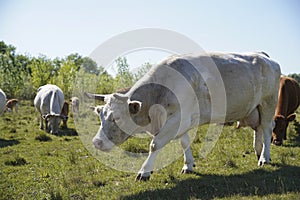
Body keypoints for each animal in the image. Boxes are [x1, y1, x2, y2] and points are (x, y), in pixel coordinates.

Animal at [86, 52, 282, 181]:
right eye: (100, 115)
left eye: (117, 118)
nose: (97, 142)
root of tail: (263, 55)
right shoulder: (182, 122)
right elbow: (184, 143)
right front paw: (188, 165)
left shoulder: (177, 119)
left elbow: (154, 145)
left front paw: (144, 171)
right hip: (255, 108)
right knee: (258, 130)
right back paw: (258, 151)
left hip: (268, 103)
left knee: (266, 130)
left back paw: (264, 158)